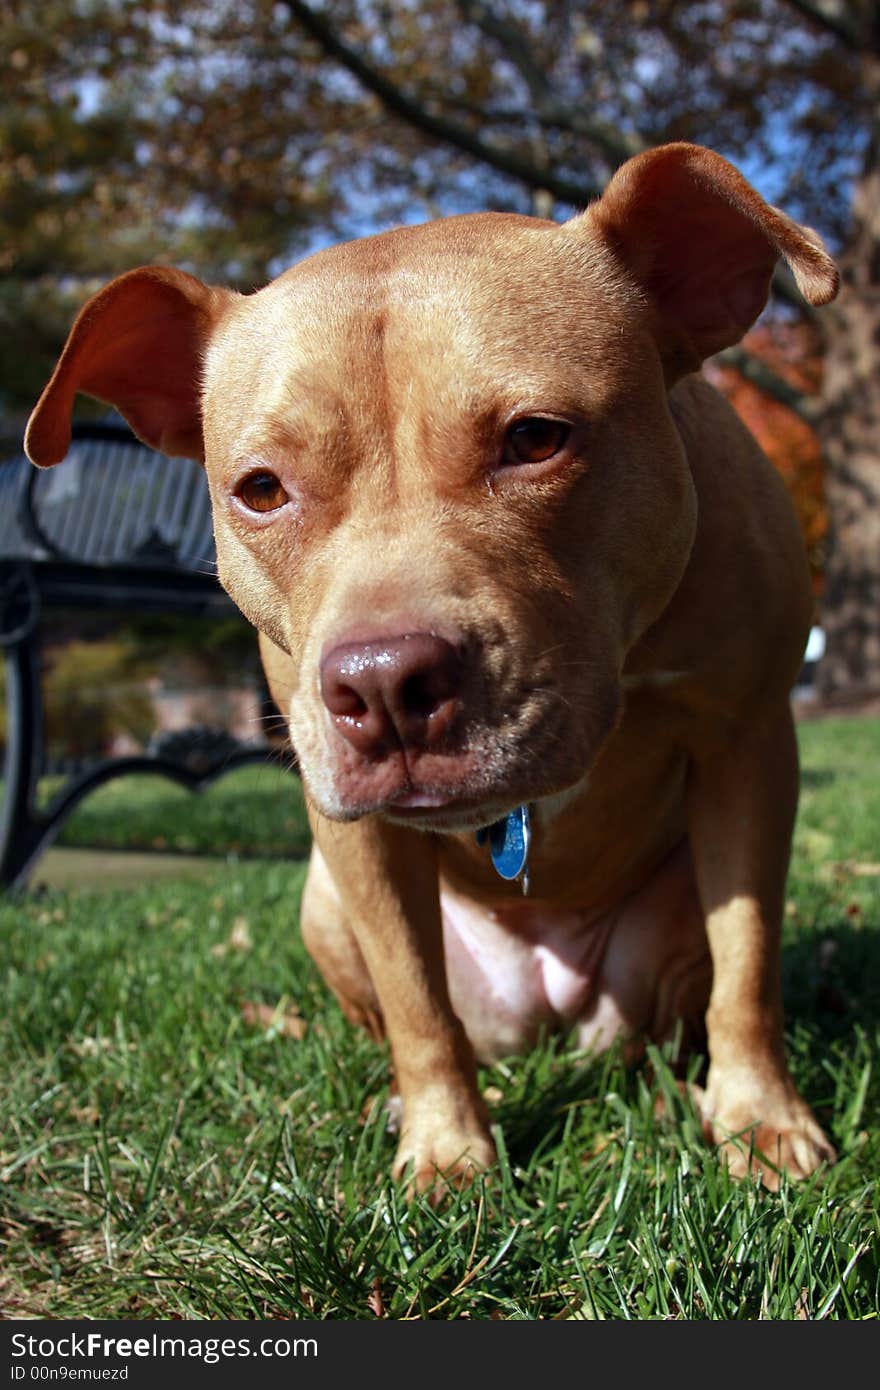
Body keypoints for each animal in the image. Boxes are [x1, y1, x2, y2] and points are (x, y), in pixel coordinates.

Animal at [27, 146, 839, 1200]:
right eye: (261, 491)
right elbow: (417, 1005)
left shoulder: (747, 746)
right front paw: (448, 1151)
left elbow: (749, 965)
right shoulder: (358, 845)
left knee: (655, 1029)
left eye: (536, 437)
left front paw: (762, 1121)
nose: (381, 685)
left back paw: (673, 1095)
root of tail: (541, 1019)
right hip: (322, 901)